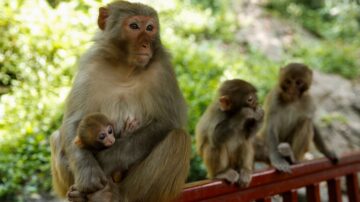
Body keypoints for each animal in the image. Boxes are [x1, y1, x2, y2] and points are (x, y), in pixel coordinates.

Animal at [51, 0, 193, 201]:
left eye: (150, 28)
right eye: (134, 26)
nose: (146, 44)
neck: (125, 69)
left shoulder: (163, 70)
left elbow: (166, 121)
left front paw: (104, 161)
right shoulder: (91, 66)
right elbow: (73, 121)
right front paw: (88, 172)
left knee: (178, 139)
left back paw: (112, 195)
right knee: (57, 137)